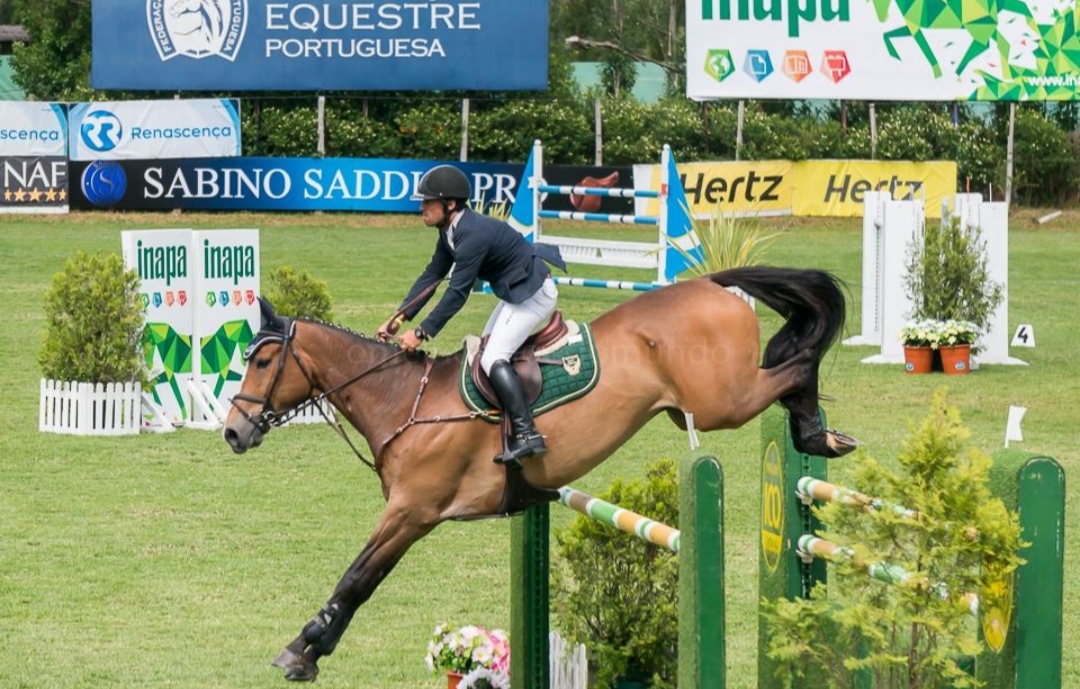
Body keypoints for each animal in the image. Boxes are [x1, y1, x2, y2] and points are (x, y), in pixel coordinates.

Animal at [222, 266, 858, 682]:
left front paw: (302, 649)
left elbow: (356, 579)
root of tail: (712, 285)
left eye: (262, 360)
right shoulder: (411, 514)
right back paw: (817, 433)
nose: (233, 431)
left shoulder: (411, 512)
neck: (403, 400)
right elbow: (362, 579)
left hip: (724, 400)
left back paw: (816, 434)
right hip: (695, 408)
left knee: (795, 365)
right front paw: (309, 649)